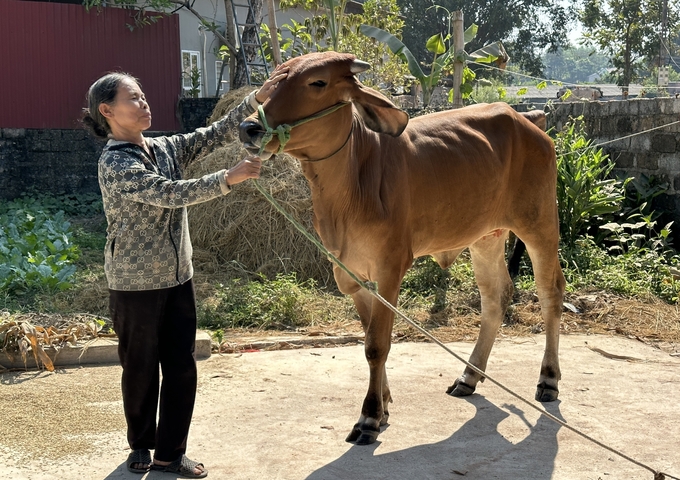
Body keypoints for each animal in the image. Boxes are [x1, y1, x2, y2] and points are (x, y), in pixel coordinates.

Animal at [236, 52, 564, 446]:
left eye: (317, 82)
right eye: (270, 83)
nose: (249, 128)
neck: (350, 185)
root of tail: (527, 120)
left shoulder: (390, 268)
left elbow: (377, 345)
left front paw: (369, 417)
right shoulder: (351, 274)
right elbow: (369, 338)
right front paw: (385, 404)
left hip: (540, 225)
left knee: (551, 293)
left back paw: (548, 379)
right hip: (485, 237)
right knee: (496, 297)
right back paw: (468, 377)